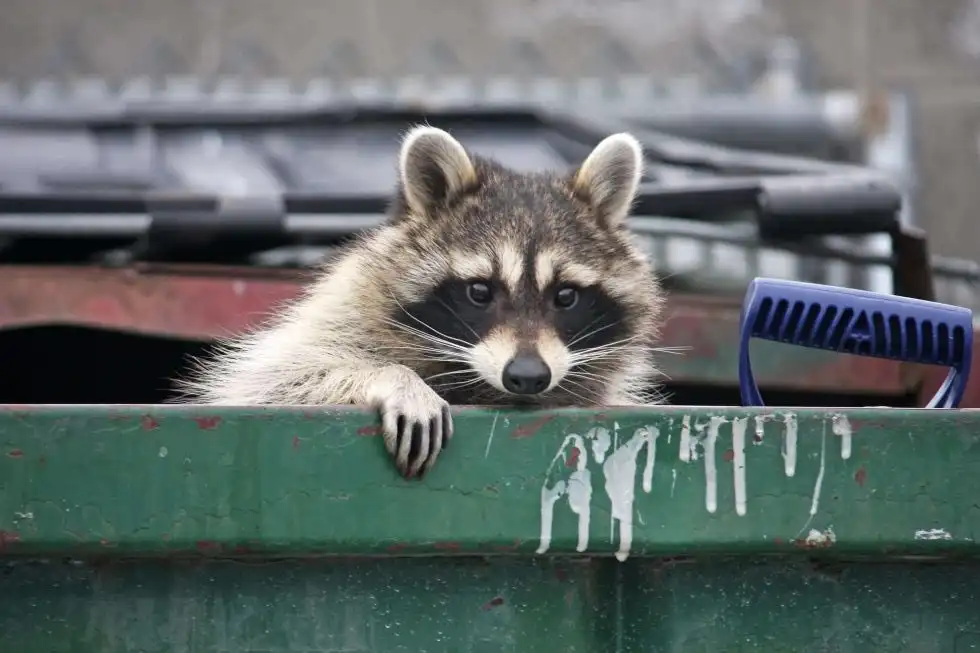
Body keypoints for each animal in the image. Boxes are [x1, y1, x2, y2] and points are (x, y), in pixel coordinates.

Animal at [178, 125, 665, 479]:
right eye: (479, 291)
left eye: (566, 295)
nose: (527, 375)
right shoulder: (334, 317)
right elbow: (278, 380)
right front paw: (393, 377)